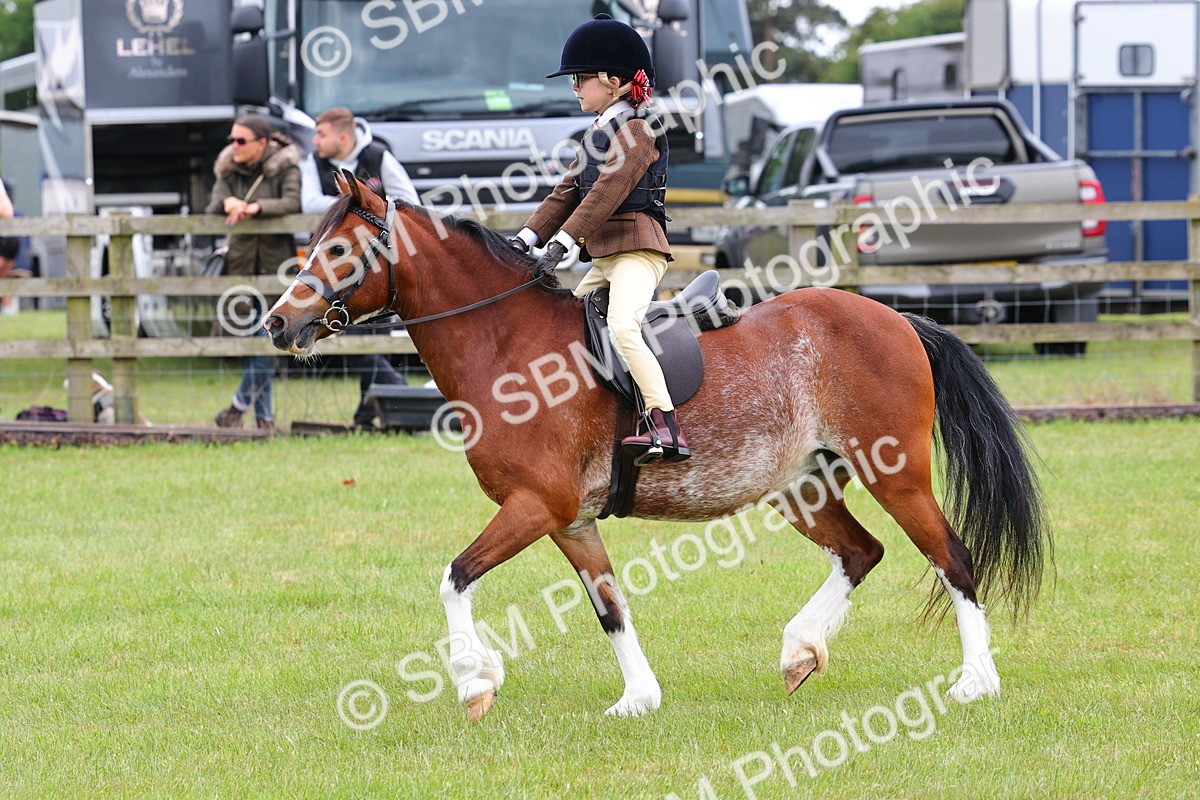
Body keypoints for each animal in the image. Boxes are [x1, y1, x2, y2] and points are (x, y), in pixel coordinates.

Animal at [263, 172, 1048, 722]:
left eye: (339, 250)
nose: (275, 323)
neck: (505, 343)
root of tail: (897, 318)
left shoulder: (535, 506)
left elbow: (455, 578)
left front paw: (474, 683)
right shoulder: (570, 521)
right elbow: (609, 608)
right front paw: (638, 698)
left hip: (897, 474)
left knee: (953, 559)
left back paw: (975, 682)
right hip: (803, 487)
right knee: (861, 552)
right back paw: (801, 650)